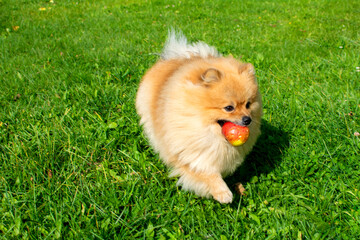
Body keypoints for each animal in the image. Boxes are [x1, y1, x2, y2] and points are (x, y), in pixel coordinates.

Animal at [135, 30, 262, 202]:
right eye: (229, 108)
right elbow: (206, 173)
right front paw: (223, 192)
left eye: (248, 104)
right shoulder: (190, 153)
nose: (247, 119)